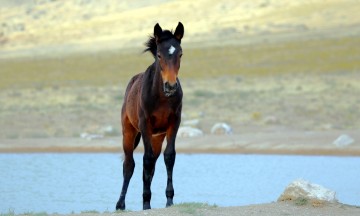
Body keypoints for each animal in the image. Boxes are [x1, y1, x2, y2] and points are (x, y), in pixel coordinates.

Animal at [116, 22, 184, 211]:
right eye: (159, 55)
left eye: (180, 54)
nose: (170, 86)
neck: (161, 97)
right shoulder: (145, 124)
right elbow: (145, 160)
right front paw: (146, 203)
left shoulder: (174, 123)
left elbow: (169, 157)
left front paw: (169, 200)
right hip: (129, 132)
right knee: (129, 165)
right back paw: (120, 204)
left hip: (157, 137)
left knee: (152, 163)